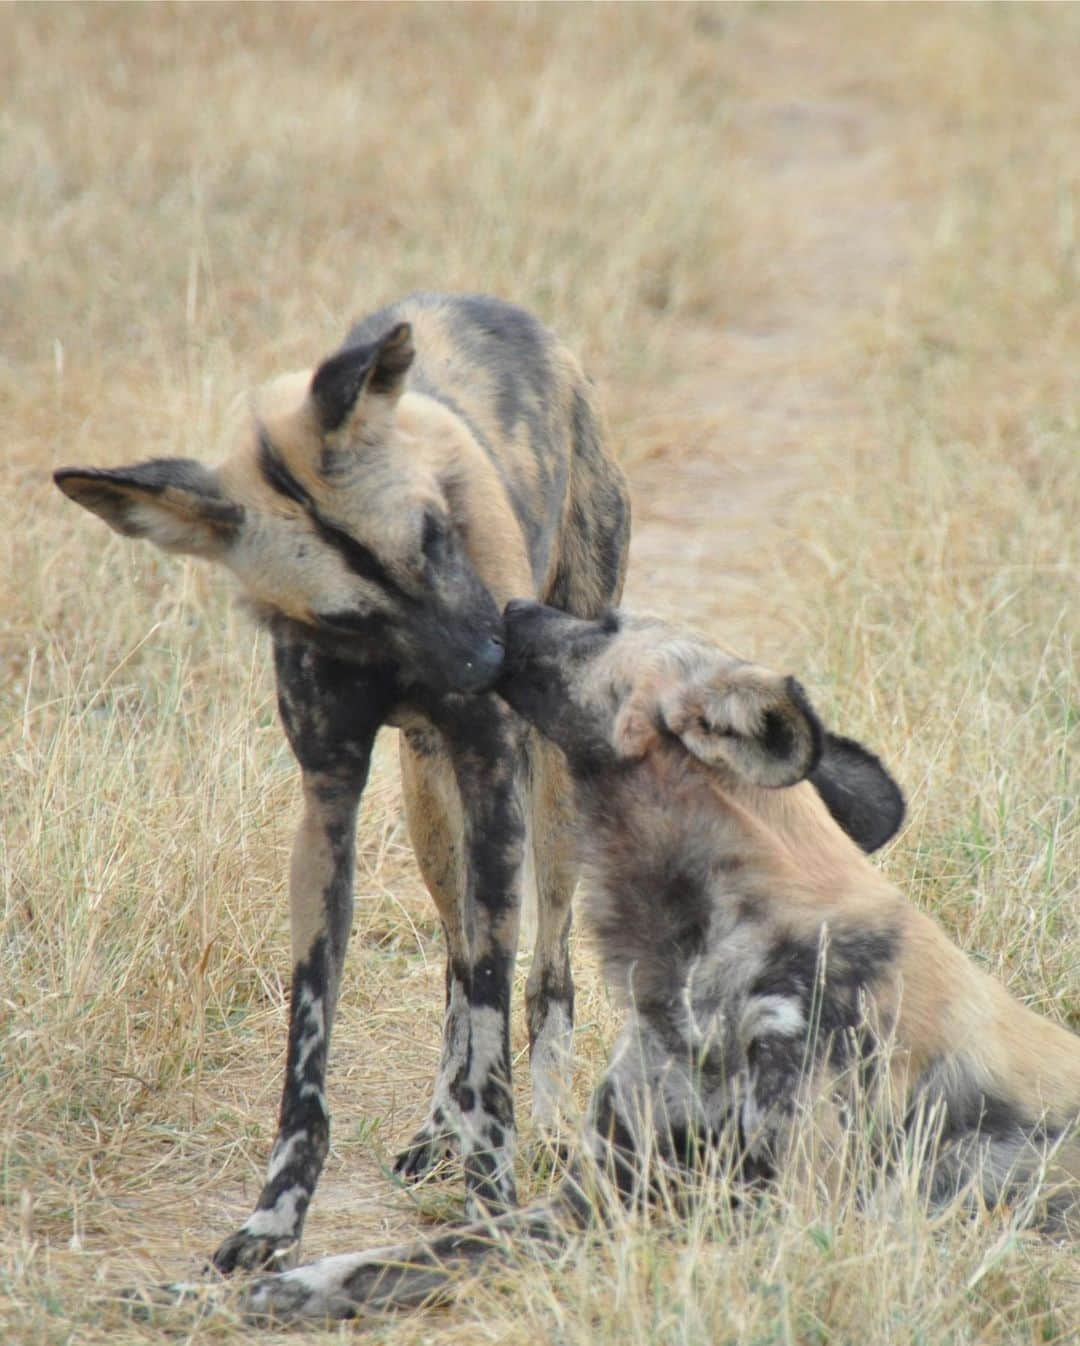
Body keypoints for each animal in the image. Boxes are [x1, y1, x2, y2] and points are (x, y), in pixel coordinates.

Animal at [54, 294, 630, 1270]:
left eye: (434, 534)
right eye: (349, 614)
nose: (491, 664)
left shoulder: (492, 773)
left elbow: (495, 1014)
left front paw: (490, 1200)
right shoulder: (330, 802)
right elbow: (313, 1049)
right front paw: (274, 1219)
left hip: (545, 796)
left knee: (543, 974)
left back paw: (549, 1126)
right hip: (427, 801)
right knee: (454, 961)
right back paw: (439, 1126)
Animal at [166, 605, 1066, 1319]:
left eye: (602, 624)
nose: (507, 602)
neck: (707, 955)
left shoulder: (783, 1218)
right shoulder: (588, 1205)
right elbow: (384, 1261)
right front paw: (239, 1288)